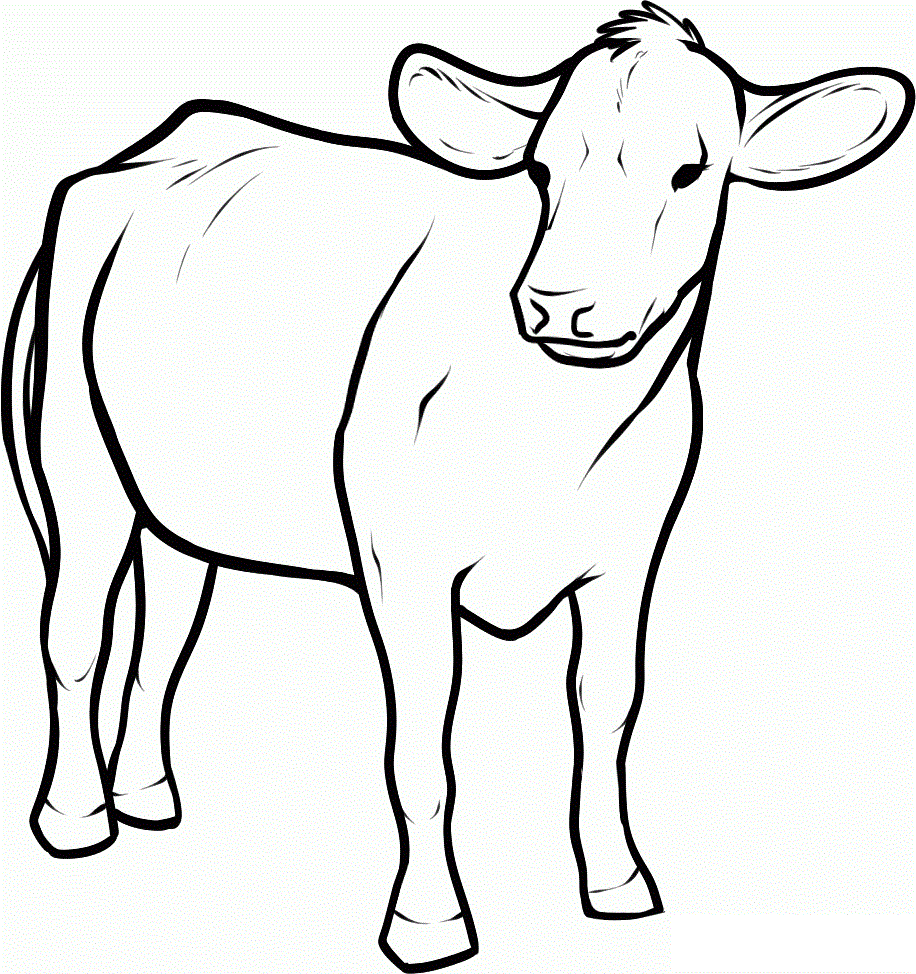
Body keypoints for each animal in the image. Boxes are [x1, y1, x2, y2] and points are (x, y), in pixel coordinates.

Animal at [4, 4, 912, 971]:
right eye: (543, 169)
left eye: (690, 170)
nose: (561, 303)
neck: (555, 427)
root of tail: (165, 139)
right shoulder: (404, 571)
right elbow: (421, 756)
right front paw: (428, 921)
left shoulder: (627, 562)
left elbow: (607, 714)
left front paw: (617, 882)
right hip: (80, 464)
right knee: (73, 638)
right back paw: (75, 817)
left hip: (178, 500)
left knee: (164, 635)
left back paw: (145, 796)